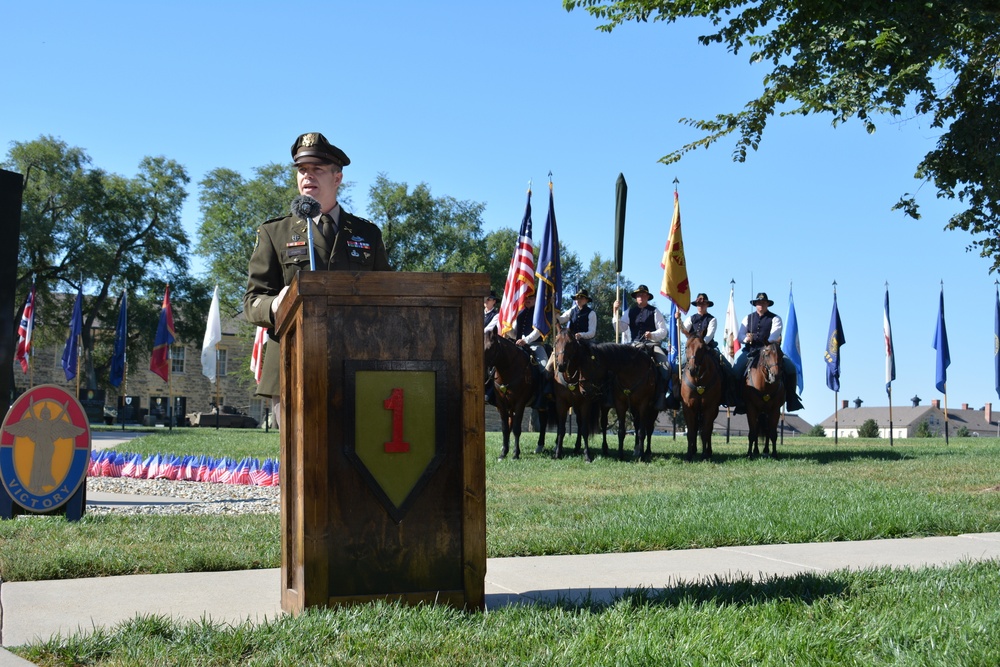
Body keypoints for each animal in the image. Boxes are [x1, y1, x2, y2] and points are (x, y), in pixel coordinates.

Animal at [482, 328, 548, 460]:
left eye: (491, 347)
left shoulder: (519, 403)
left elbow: (517, 429)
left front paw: (515, 453)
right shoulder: (501, 404)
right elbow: (505, 428)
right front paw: (503, 453)